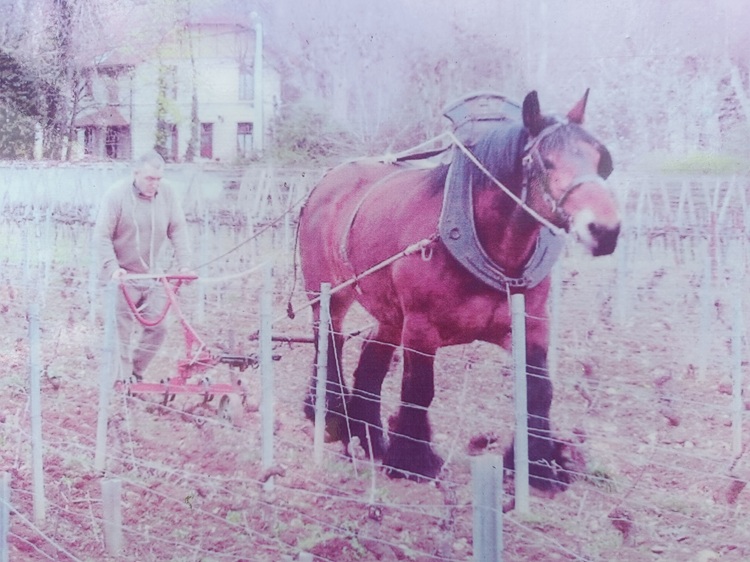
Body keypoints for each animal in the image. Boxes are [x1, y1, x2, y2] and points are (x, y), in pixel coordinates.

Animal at [297, 90, 620, 491]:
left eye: (600, 160)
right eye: (545, 161)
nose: (605, 230)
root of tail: (327, 181)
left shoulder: (531, 323)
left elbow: (539, 389)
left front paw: (540, 465)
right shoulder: (421, 327)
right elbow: (420, 389)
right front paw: (413, 461)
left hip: (389, 310)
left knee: (372, 353)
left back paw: (366, 432)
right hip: (328, 294)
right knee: (329, 342)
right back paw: (329, 414)